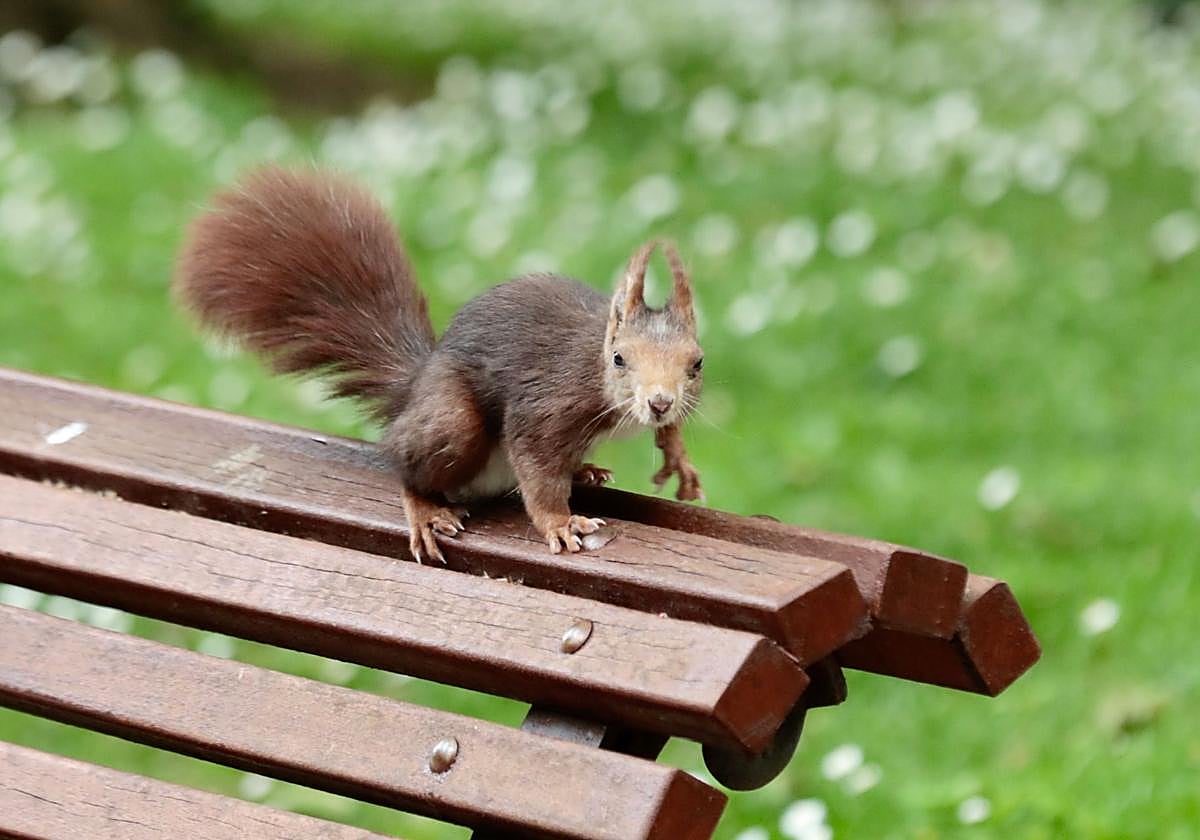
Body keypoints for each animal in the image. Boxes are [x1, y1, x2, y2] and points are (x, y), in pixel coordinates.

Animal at [175, 167, 704, 563]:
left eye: (697, 363)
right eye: (619, 359)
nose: (659, 402)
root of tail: (414, 388)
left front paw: (677, 454)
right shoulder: (549, 404)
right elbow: (537, 472)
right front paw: (559, 523)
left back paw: (584, 470)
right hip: (450, 422)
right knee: (408, 465)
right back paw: (425, 509)